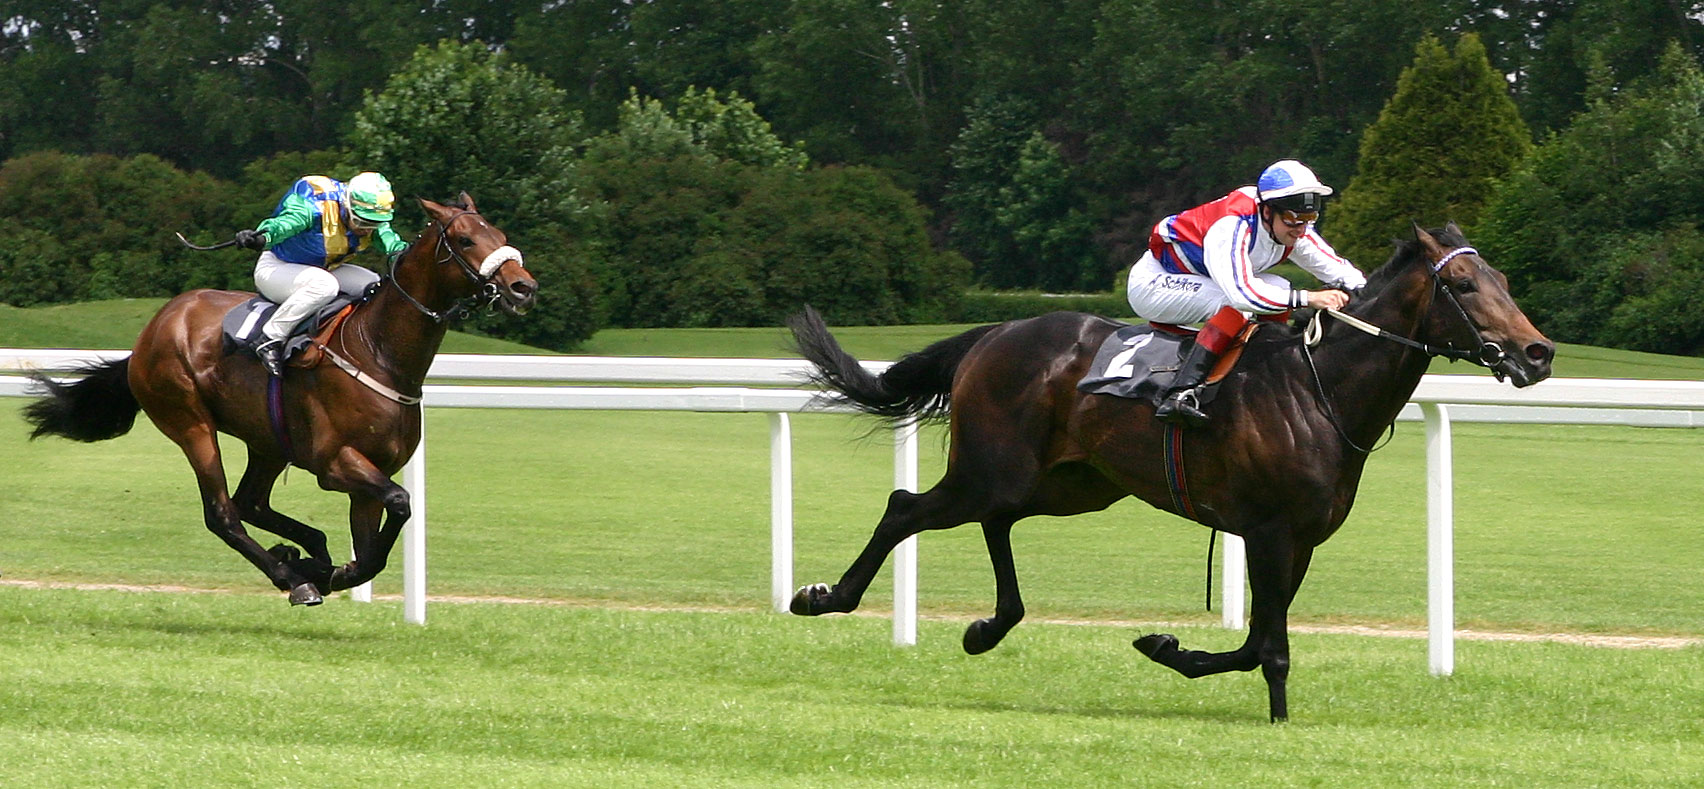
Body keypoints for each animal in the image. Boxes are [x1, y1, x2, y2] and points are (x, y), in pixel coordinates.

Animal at [23, 194, 535, 610]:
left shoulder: (370, 474)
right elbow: (400, 501)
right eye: (466, 239)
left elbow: (375, 547)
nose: (523, 287)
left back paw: (303, 556)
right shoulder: (336, 464)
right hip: (190, 423)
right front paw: (321, 573)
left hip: (267, 440)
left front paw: (329, 568)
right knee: (224, 514)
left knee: (251, 503)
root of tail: (149, 334)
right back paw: (293, 575)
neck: (378, 351)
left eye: (501, 236)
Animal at [790, 221, 1554, 722]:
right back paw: (824, 597)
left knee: (995, 520)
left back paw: (989, 626)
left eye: (1502, 280)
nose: (1538, 352)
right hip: (993, 467)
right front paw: (1279, 720)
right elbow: (1269, 646)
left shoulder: (1300, 539)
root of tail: (994, 333)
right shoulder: (1270, 531)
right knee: (905, 506)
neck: (1319, 387)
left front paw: (1165, 645)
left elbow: (1253, 642)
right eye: (1463, 284)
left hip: (1069, 483)